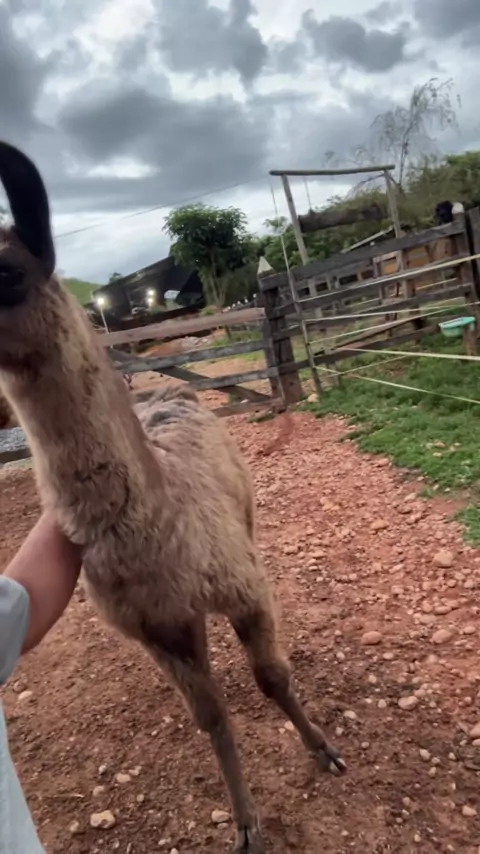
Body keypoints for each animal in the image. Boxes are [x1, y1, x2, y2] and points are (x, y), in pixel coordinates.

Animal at [0, 141, 345, 854]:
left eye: (7, 273)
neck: (156, 526)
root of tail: (167, 389)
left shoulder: (243, 583)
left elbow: (271, 678)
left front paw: (322, 749)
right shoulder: (155, 628)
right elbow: (210, 716)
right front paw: (245, 824)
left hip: (245, 519)